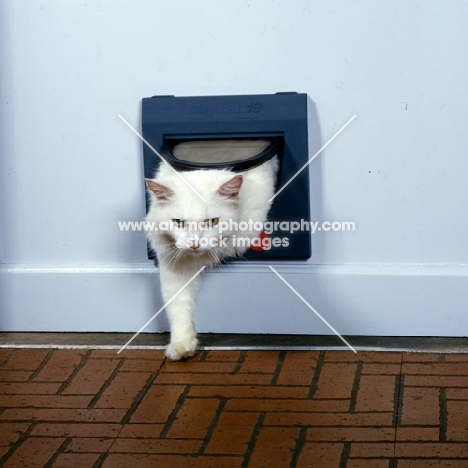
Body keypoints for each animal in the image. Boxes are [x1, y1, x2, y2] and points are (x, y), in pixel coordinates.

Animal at [145, 155, 278, 360]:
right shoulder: (174, 268)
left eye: (212, 221)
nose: (194, 244)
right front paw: (182, 345)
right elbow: (177, 306)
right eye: (178, 222)